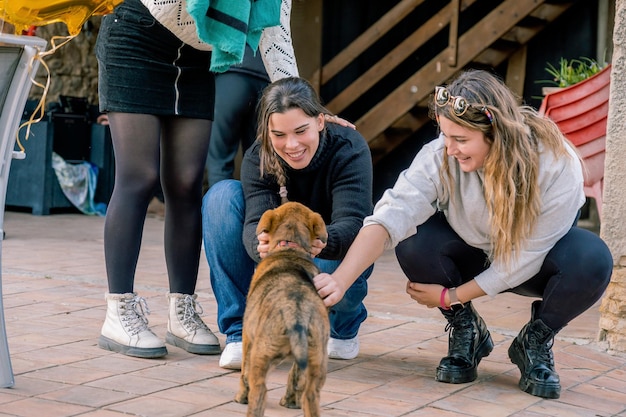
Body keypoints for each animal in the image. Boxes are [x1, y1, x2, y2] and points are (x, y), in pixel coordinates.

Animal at [234, 202, 332, 416]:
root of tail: (297, 316)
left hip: (261, 354)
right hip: (316, 359)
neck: (290, 248)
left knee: (258, 391)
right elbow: (295, 377)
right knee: (310, 394)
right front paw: (290, 402)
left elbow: (243, 372)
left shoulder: (248, 337)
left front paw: (240, 397)